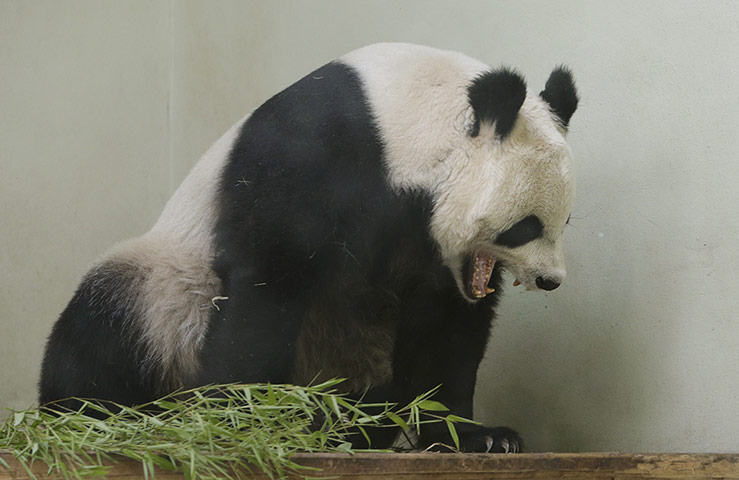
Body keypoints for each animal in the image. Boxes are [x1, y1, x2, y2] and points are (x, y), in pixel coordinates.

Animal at [39, 43, 578, 453]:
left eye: (565, 221)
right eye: (525, 227)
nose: (550, 280)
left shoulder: (433, 257)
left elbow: (446, 329)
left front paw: (479, 437)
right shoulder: (311, 153)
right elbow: (268, 283)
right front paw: (245, 420)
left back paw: (346, 424)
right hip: (166, 293)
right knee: (104, 329)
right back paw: (93, 415)